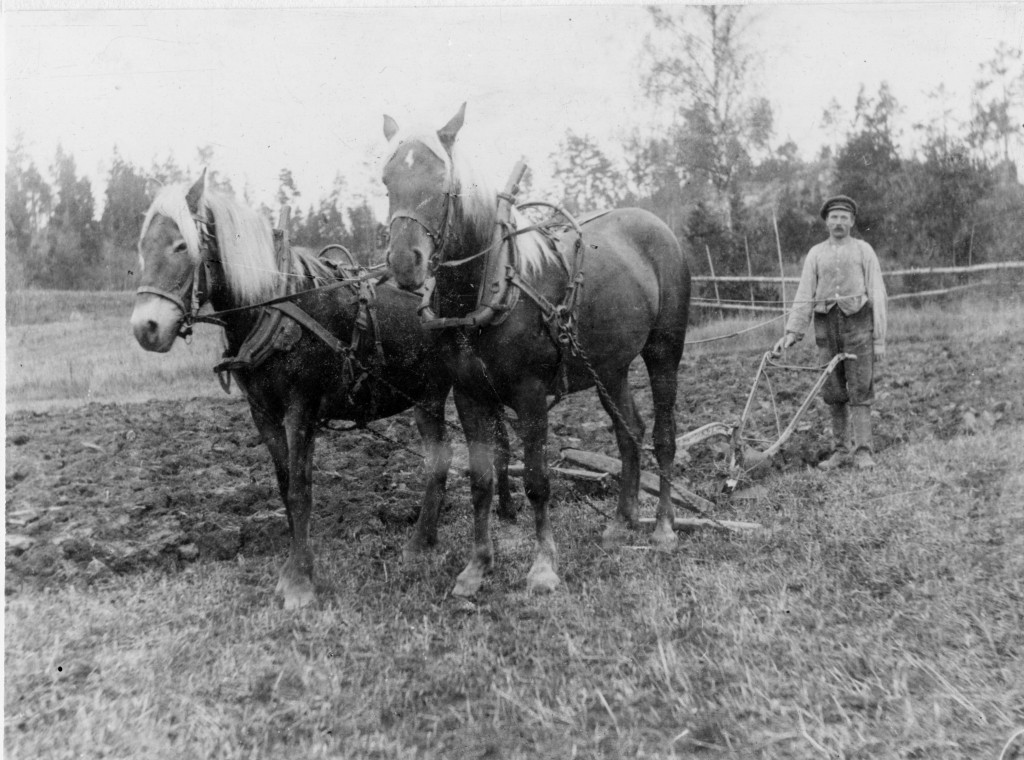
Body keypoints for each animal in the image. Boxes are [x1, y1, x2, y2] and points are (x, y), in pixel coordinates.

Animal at [380, 103, 692, 598]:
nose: (403, 263)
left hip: (664, 353)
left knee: (662, 434)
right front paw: (477, 566)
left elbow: (537, 482)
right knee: (629, 432)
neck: (491, 287)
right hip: (609, 368)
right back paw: (622, 521)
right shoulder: (470, 397)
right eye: (386, 181)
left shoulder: (530, 397)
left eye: (444, 182)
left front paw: (543, 567)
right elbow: (482, 482)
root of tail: (657, 225)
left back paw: (662, 527)